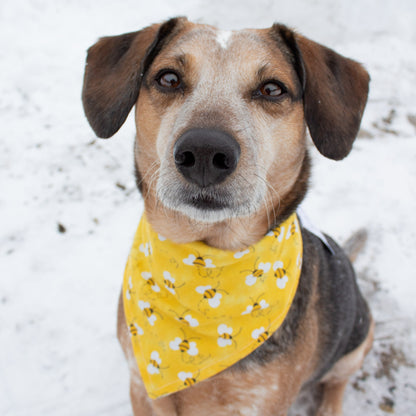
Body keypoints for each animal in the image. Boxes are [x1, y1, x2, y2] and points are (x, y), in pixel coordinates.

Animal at [82, 17, 374, 416]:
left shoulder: (261, 404)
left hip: (359, 338)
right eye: (168, 78)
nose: (204, 152)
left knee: (337, 381)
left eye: (272, 88)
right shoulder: (142, 389)